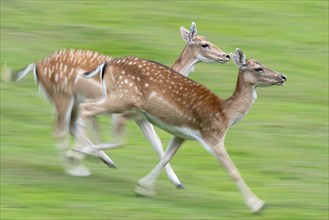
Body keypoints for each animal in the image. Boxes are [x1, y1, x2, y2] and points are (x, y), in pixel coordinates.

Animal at [15, 21, 229, 179]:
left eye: (208, 40)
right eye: (204, 44)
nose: (226, 55)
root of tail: (35, 66)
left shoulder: (141, 117)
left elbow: (158, 144)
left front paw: (176, 182)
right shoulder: (123, 112)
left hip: (70, 100)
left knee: (71, 126)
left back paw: (98, 161)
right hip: (63, 96)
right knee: (60, 130)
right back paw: (76, 168)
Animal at [75, 49, 286, 212]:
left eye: (263, 63)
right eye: (258, 68)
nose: (283, 77)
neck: (226, 114)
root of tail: (108, 63)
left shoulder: (181, 134)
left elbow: (165, 157)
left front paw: (143, 187)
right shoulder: (213, 136)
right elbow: (233, 170)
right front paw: (257, 205)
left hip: (117, 100)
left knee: (86, 110)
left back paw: (80, 155)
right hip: (122, 99)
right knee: (87, 110)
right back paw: (77, 155)